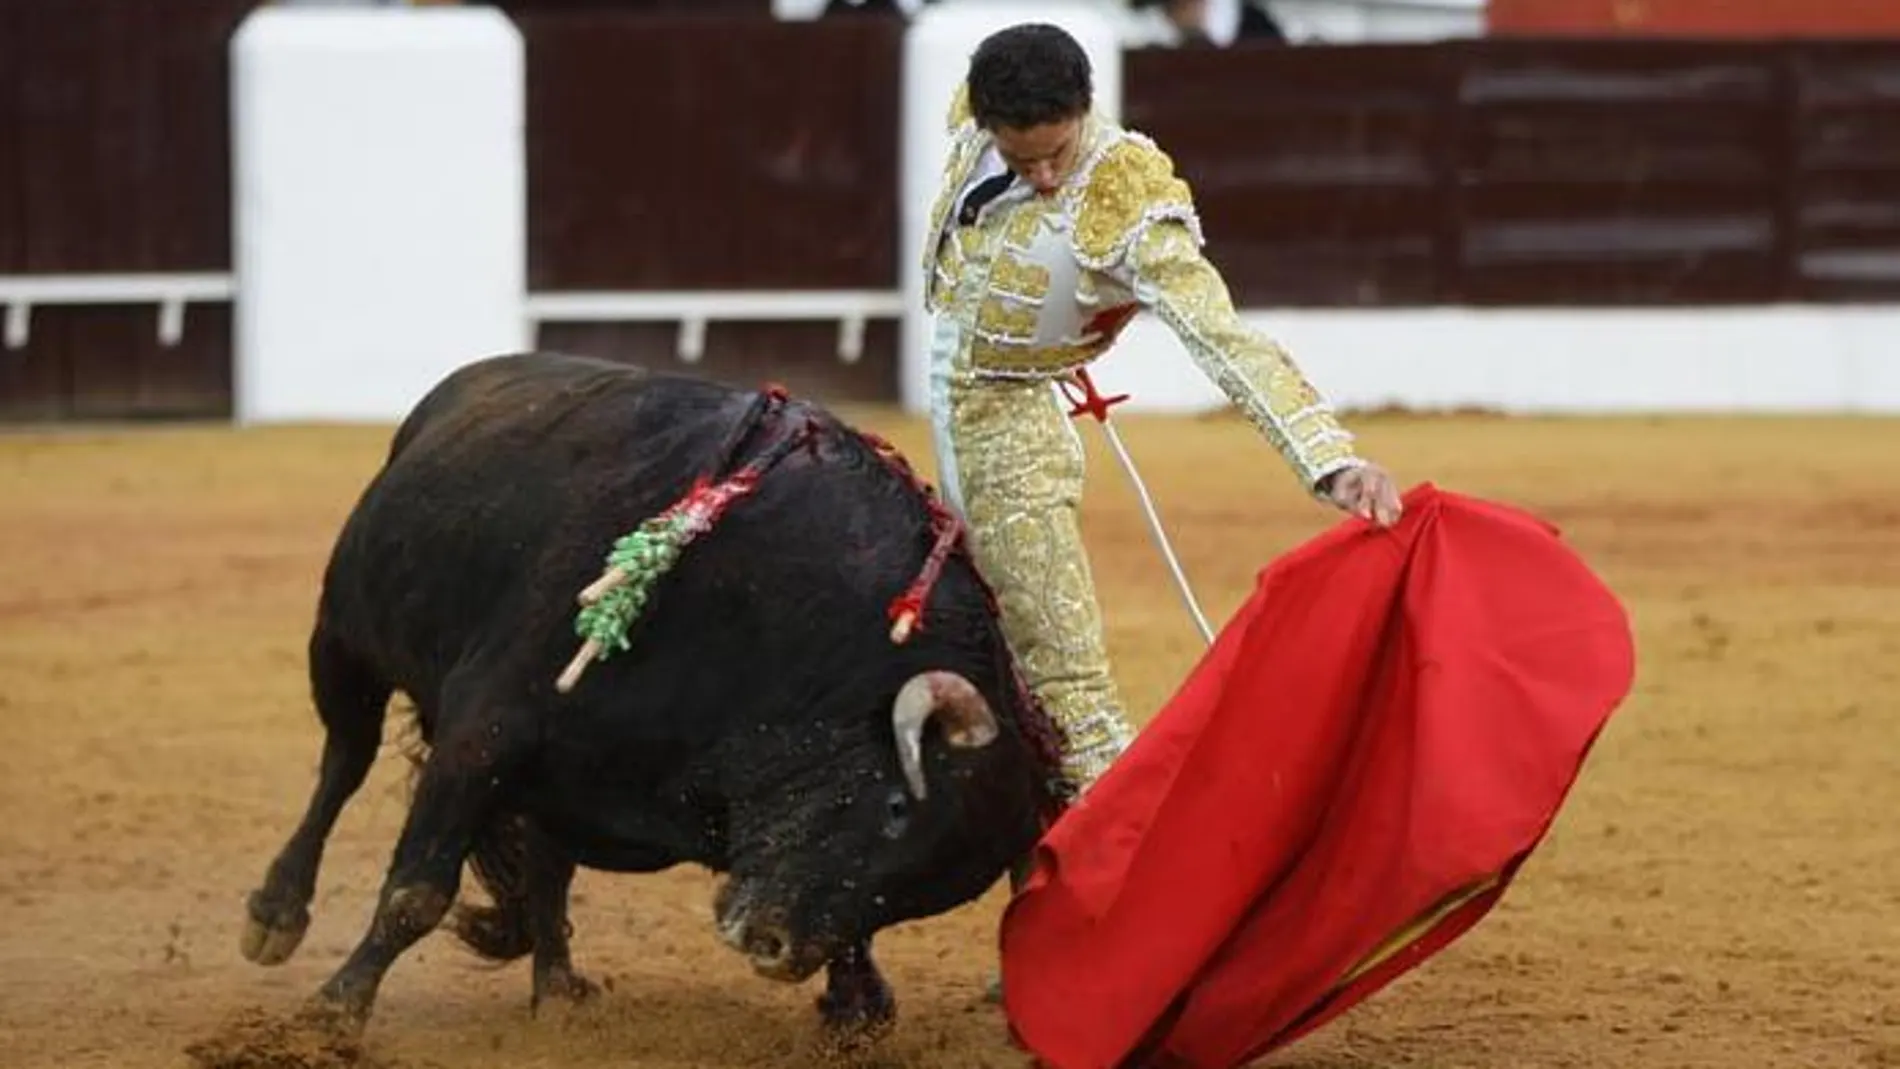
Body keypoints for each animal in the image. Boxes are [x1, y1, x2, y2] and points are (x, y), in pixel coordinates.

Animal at [237, 351, 1071, 1040]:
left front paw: (857, 999)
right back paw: (276, 912)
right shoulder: (485, 726)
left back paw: (557, 989)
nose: (771, 947)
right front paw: (335, 1010)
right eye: (898, 807)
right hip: (342, 643)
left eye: (922, 892)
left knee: (544, 862)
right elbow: (417, 888)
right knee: (344, 762)